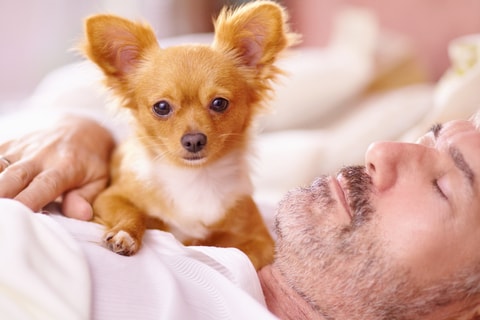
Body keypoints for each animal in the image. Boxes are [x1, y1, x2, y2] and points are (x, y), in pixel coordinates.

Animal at [82, 0, 296, 270]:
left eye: (219, 103)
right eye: (162, 107)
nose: (194, 140)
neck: (195, 177)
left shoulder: (261, 241)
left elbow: (236, 251)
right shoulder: (108, 197)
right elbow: (130, 212)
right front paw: (125, 233)